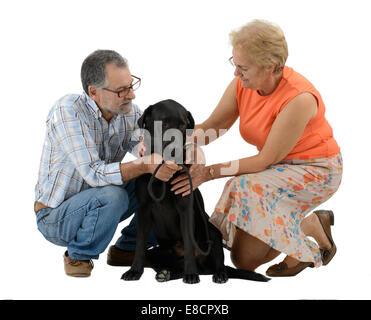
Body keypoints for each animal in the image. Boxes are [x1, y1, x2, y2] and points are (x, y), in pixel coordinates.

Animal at [122, 99, 270, 284]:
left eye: (183, 125)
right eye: (164, 124)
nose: (176, 150)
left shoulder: (185, 208)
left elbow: (188, 241)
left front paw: (191, 274)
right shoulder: (143, 209)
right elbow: (140, 243)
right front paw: (134, 270)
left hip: (212, 232)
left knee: (218, 262)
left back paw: (218, 274)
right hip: (156, 253)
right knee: (169, 265)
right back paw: (166, 274)